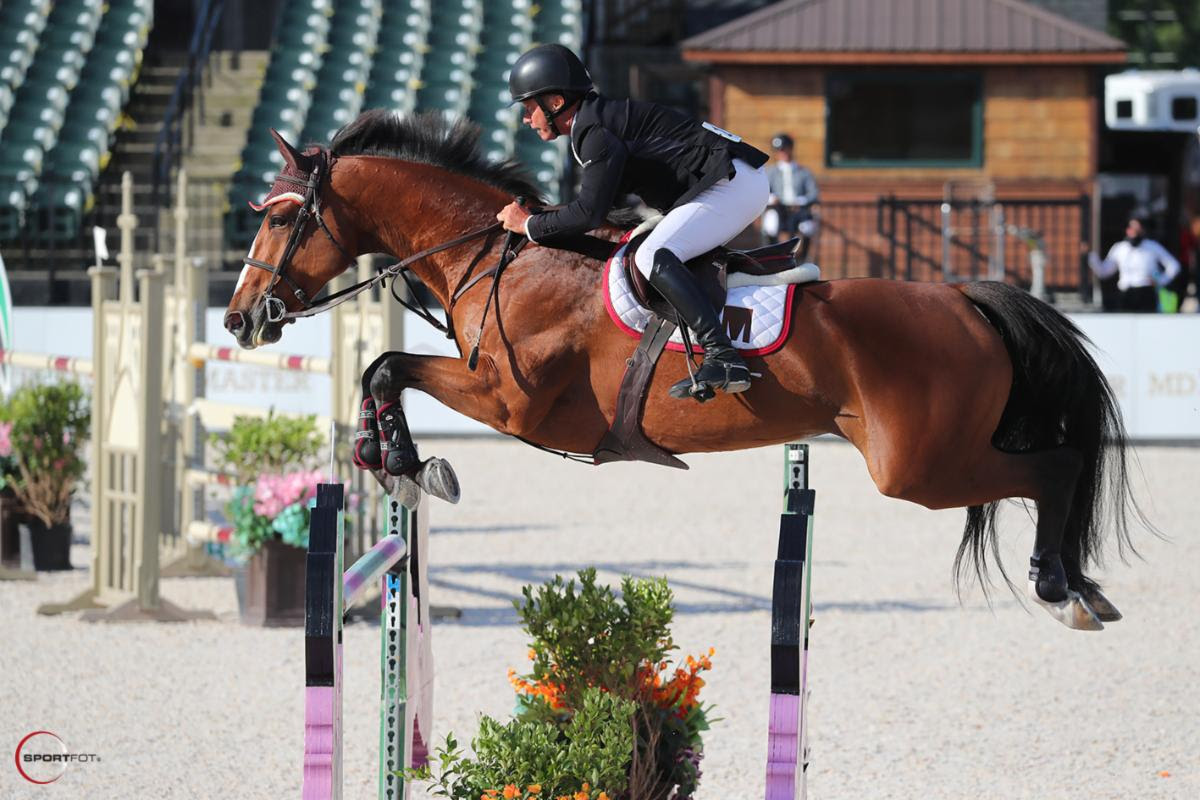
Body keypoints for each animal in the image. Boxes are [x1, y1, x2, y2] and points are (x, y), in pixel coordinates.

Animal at [225, 110, 1142, 631]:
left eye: (281, 217)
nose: (240, 319)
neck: (498, 256)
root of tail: (965, 298)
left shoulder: (510, 401)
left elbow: (387, 366)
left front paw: (408, 462)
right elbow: (384, 369)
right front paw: (385, 456)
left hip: (920, 466)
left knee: (1056, 466)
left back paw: (1061, 588)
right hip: (932, 458)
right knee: (1053, 468)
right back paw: (1083, 587)